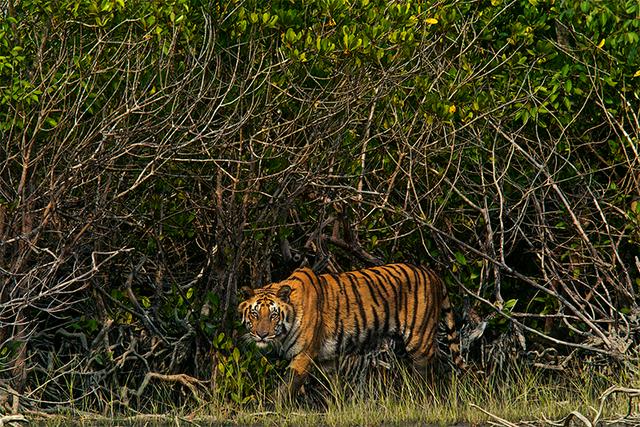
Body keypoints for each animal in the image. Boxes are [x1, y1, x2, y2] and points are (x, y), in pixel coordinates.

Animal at [238, 264, 468, 398]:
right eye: (255, 314)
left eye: (273, 315)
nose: (262, 335)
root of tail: (433, 274)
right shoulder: (328, 359)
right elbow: (330, 389)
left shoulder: (304, 355)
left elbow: (286, 387)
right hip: (402, 345)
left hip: (419, 340)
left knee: (427, 373)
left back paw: (424, 398)